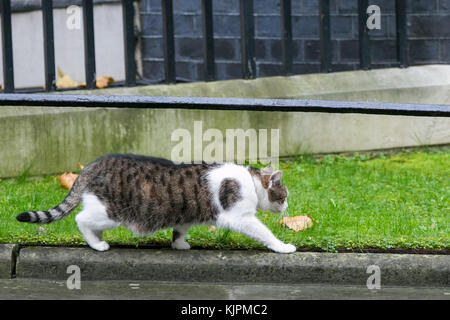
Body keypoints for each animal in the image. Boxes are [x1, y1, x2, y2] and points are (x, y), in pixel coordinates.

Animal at [15, 154, 296, 254]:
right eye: (283, 197)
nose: (286, 208)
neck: (251, 181)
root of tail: (92, 166)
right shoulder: (238, 216)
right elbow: (264, 232)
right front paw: (283, 247)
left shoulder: (185, 214)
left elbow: (180, 229)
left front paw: (179, 245)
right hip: (111, 213)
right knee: (80, 219)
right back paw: (97, 245)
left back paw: (96, 240)